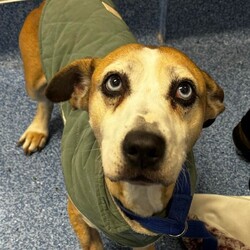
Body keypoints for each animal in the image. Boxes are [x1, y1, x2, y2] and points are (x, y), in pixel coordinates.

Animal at [17, 0, 225, 249]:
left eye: (185, 90)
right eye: (114, 82)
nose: (143, 146)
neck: (138, 198)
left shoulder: (144, 241)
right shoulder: (80, 219)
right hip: (35, 81)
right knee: (44, 102)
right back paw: (37, 130)